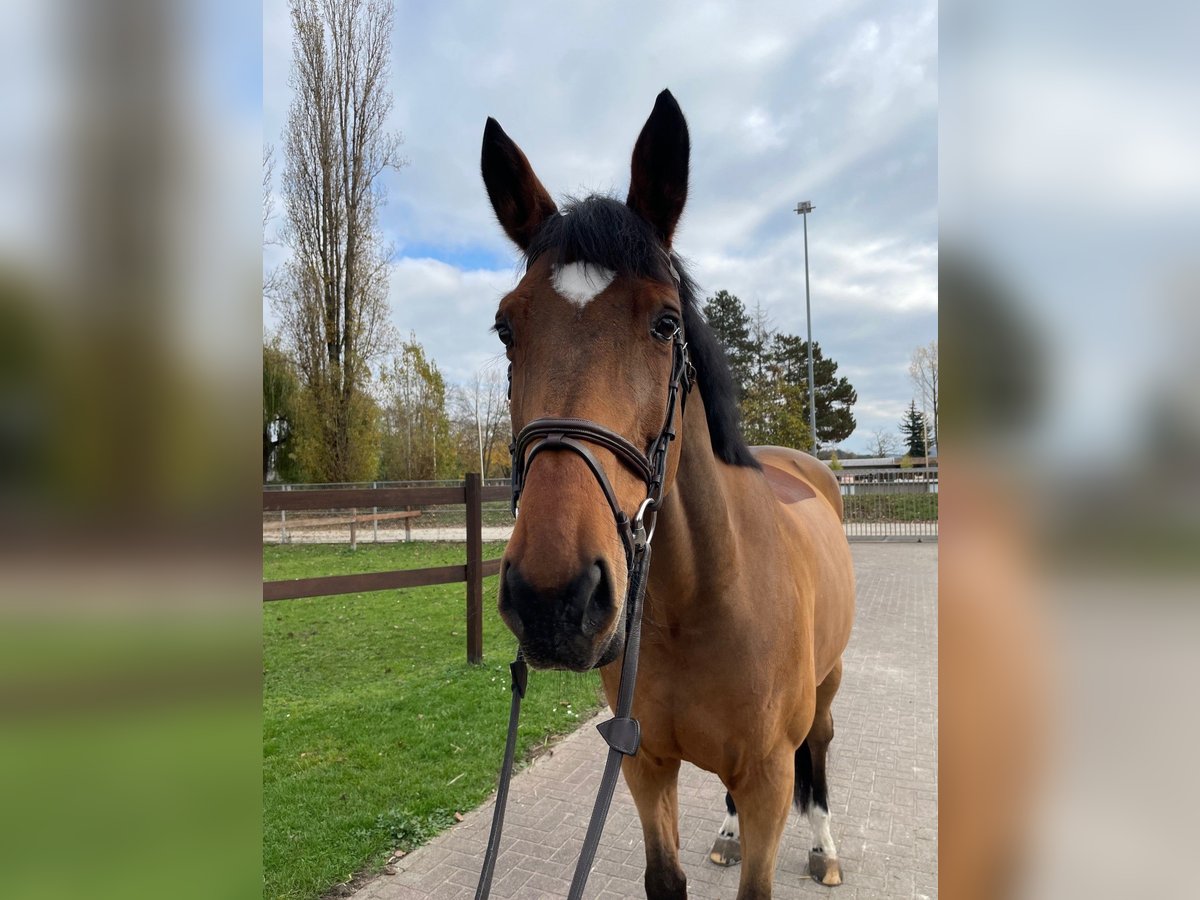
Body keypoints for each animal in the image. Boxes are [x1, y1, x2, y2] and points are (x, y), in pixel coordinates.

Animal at [477, 86, 854, 900]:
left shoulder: (770, 780)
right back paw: (726, 835)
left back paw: (826, 847)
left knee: (821, 750)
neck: (699, 601)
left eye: (665, 321)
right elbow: (665, 877)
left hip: (829, 686)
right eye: (505, 328)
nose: (553, 599)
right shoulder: (644, 767)